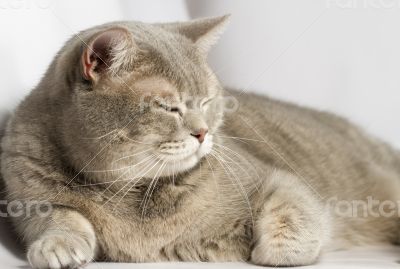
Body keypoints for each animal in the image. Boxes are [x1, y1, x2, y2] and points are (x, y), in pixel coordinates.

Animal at [0, 15, 400, 268]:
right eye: (168, 107)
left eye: (207, 100)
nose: (203, 132)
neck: (131, 192)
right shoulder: (27, 196)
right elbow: (61, 216)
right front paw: (57, 245)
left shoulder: (278, 180)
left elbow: (296, 212)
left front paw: (274, 251)